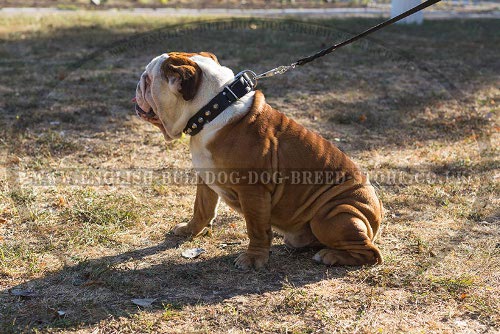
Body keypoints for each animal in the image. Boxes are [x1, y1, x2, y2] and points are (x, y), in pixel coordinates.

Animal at [134, 52, 382, 272]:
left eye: (147, 79)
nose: (138, 84)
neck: (213, 109)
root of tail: (377, 216)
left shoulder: (252, 191)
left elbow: (256, 228)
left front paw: (254, 258)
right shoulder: (205, 179)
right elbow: (201, 209)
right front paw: (189, 230)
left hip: (332, 215)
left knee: (372, 253)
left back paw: (331, 255)